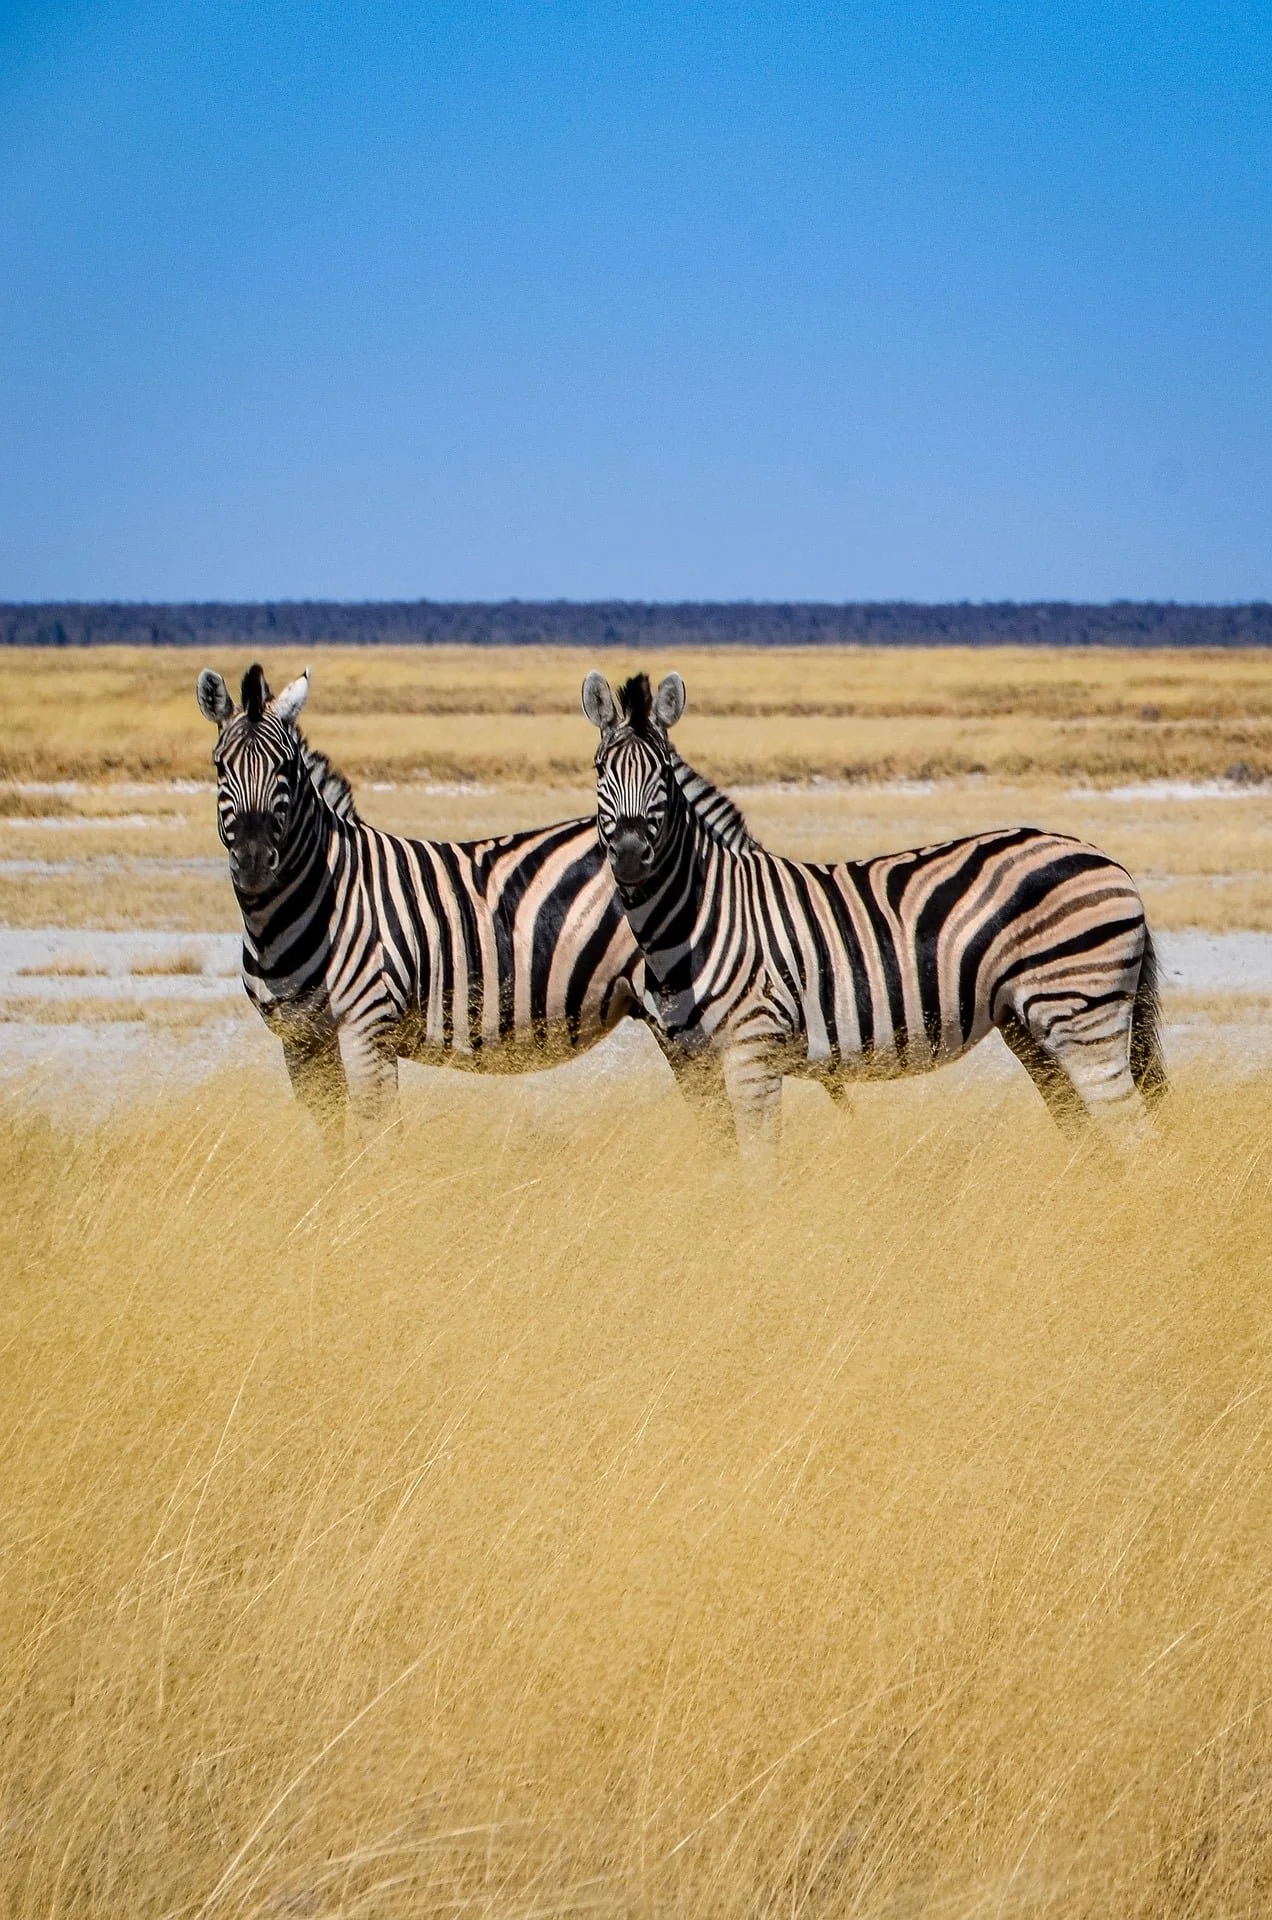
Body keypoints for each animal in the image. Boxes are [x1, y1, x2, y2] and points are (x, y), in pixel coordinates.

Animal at [196, 661, 749, 1139]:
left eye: (286, 768)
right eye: (220, 766)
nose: (252, 861)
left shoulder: (368, 1027)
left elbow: (376, 1136)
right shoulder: (299, 1041)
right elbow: (332, 1141)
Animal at [581, 669, 1168, 1155]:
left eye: (662, 776)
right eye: (599, 770)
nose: (630, 856)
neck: (701, 911)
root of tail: (1113, 864)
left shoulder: (753, 1047)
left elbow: (758, 1163)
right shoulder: (694, 1057)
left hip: (1084, 1013)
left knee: (1134, 1134)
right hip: (1028, 1024)